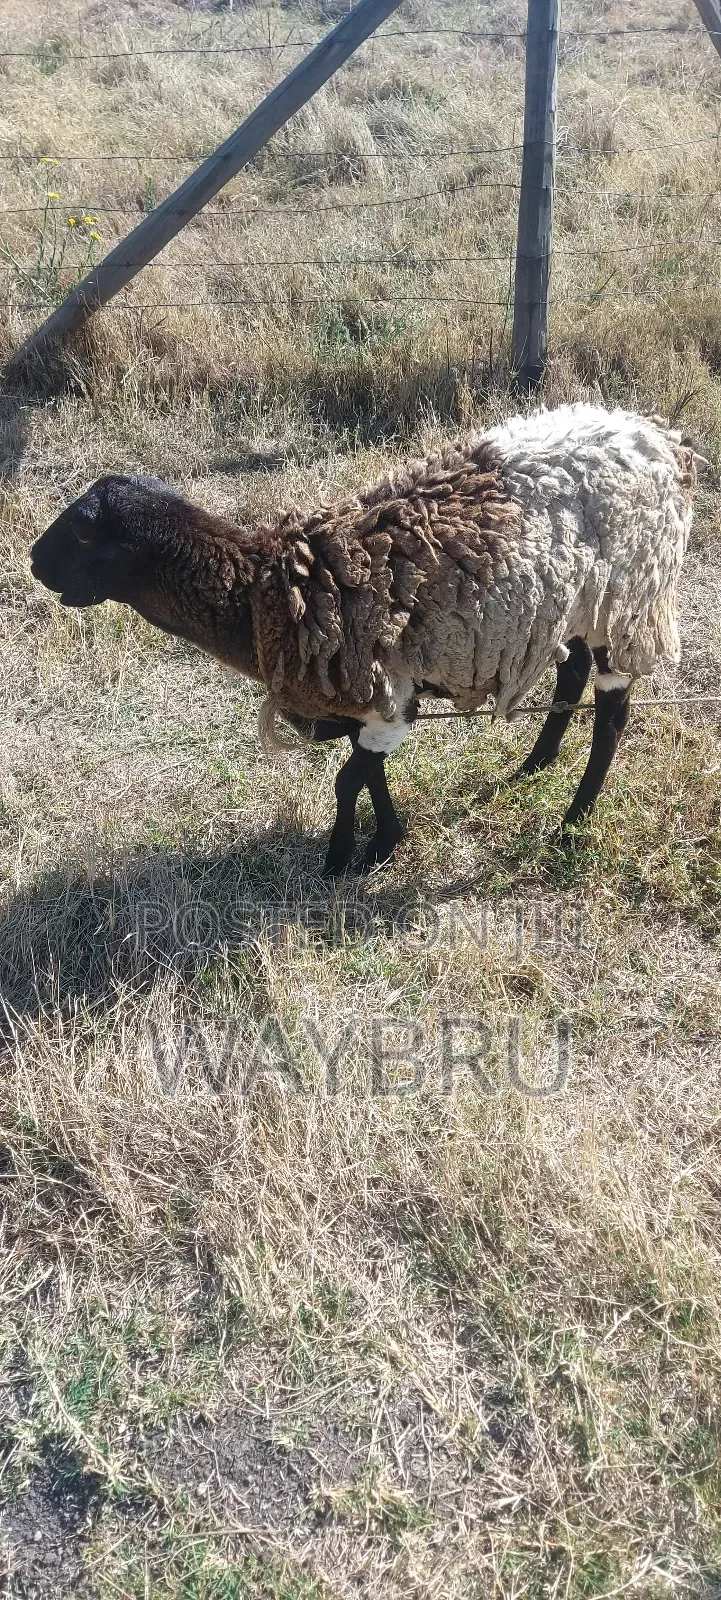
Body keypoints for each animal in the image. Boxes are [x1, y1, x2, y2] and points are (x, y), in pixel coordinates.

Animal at [30, 403, 696, 875]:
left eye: (85, 535)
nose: (35, 562)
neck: (268, 593)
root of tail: (663, 442)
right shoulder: (367, 699)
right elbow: (366, 771)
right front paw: (382, 842)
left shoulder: (385, 694)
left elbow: (349, 777)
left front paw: (344, 856)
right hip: (573, 602)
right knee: (572, 670)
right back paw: (535, 763)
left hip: (629, 599)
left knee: (611, 712)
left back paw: (572, 821)